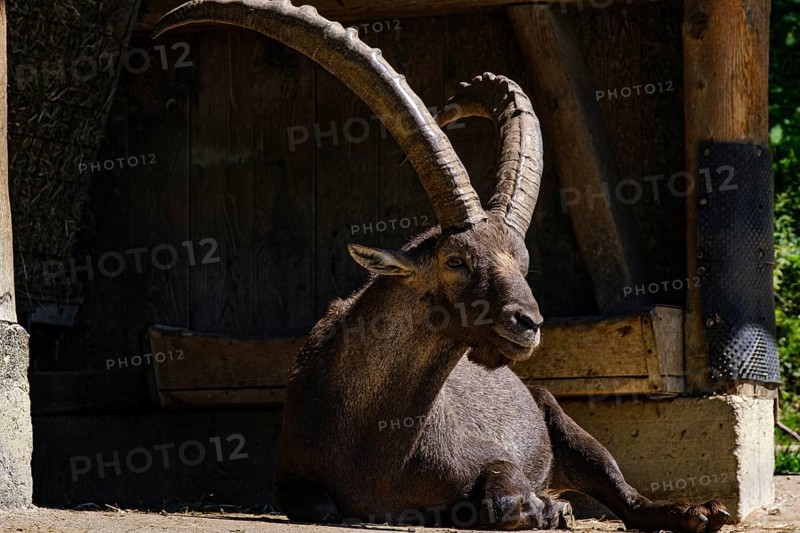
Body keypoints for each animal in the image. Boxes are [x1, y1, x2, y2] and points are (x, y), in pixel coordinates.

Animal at [155, 2, 730, 531]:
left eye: (523, 261)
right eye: (456, 259)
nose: (528, 323)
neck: (379, 438)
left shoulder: (491, 454)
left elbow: (506, 493)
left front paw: (546, 507)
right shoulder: (291, 477)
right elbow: (318, 504)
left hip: (561, 420)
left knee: (623, 495)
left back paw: (698, 511)